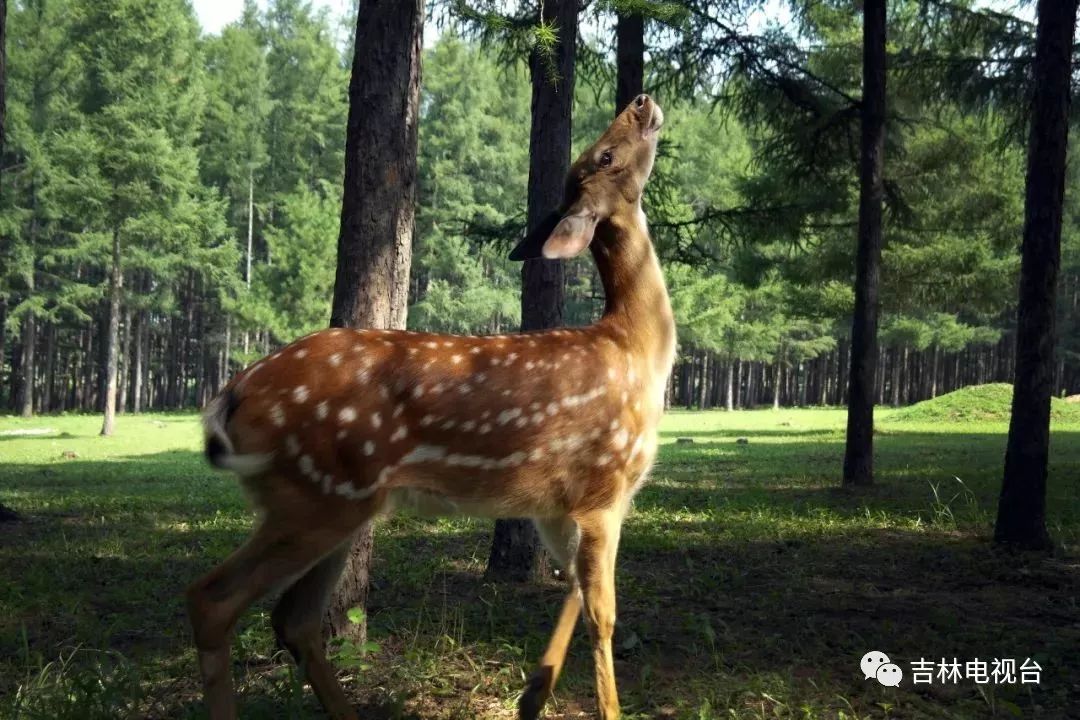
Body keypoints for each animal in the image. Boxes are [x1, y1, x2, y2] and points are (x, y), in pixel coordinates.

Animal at [190, 94, 669, 720]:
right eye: (605, 155)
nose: (641, 100)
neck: (637, 349)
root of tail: (231, 396)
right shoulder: (604, 485)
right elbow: (603, 614)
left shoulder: (558, 504)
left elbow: (571, 590)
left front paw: (531, 697)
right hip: (314, 495)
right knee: (214, 600)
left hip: (333, 502)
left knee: (293, 618)